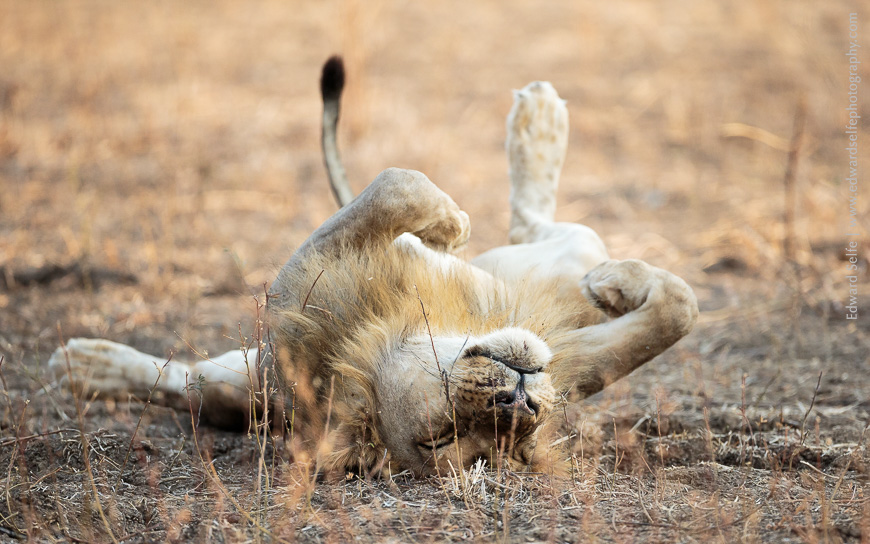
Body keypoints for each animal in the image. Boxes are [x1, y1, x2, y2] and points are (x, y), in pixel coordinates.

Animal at [49, 57, 698, 477]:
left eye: (525, 433)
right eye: (441, 438)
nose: (516, 403)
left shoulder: (569, 359)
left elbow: (676, 312)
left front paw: (615, 285)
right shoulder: (297, 289)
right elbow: (398, 182)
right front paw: (448, 223)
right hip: (248, 370)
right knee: (184, 384)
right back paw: (84, 364)